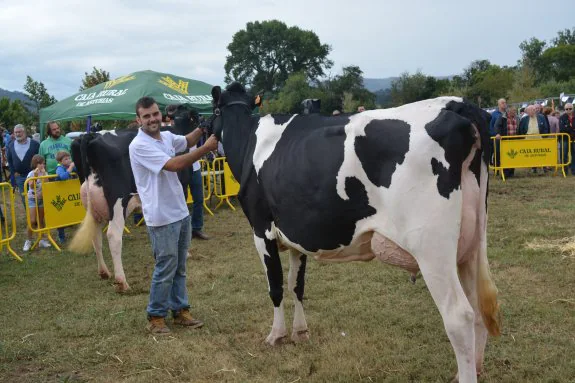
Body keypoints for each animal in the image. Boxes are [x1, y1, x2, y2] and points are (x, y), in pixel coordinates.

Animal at [209, 82, 502, 382]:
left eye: (214, 110)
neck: (250, 142)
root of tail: (457, 104)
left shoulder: (261, 229)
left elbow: (276, 287)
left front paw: (276, 336)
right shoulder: (294, 238)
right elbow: (297, 285)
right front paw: (300, 332)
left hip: (431, 247)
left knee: (459, 316)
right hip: (472, 242)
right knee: (477, 306)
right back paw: (475, 367)